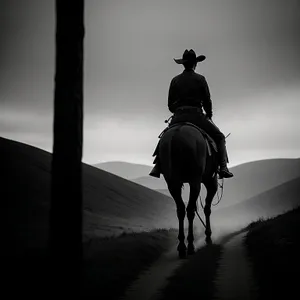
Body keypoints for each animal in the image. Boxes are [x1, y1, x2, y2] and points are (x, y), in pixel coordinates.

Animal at [158, 121, 219, 258]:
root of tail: (175, 136)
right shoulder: (211, 181)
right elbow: (207, 208)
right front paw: (208, 236)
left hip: (172, 183)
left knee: (180, 210)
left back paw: (182, 246)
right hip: (195, 181)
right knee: (190, 210)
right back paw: (191, 245)